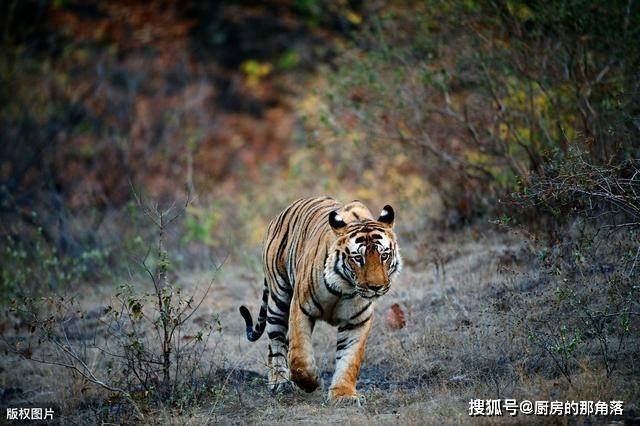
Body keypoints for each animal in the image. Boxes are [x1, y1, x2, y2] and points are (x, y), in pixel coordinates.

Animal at [240, 196, 400, 402]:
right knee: (276, 341)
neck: (345, 288)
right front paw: (312, 383)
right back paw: (280, 382)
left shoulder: (357, 321)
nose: (376, 287)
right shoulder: (300, 308)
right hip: (279, 300)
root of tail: (281, 213)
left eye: (384, 255)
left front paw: (343, 395)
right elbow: (300, 357)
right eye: (358, 258)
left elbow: (350, 359)